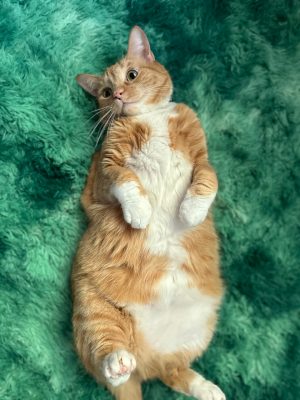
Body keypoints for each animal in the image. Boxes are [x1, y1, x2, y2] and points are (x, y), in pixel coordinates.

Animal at [72, 25, 225, 400]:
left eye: (132, 74)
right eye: (106, 92)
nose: (119, 94)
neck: (149, 119)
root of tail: (145, 358)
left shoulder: (202, 159)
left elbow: (208, 179)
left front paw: (192, 211)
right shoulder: (103, 177)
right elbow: (126, 180)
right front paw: (140, 211)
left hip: (199, 329)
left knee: (172, 372)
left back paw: (207, 388)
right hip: (96, 310)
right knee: (109, 360)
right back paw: (118, 363)